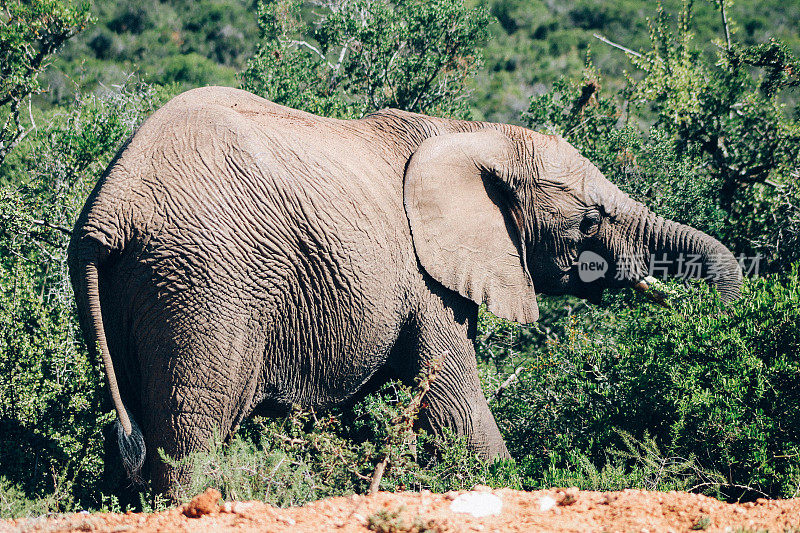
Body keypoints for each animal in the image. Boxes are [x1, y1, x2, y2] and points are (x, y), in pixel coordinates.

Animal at [69, 85, 744, 492]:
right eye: (590, 219)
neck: (472, 132)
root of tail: (109, 207)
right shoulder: (426, 279)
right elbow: (453, 396)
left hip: (128, 288)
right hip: (204, 285)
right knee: (191, 434)